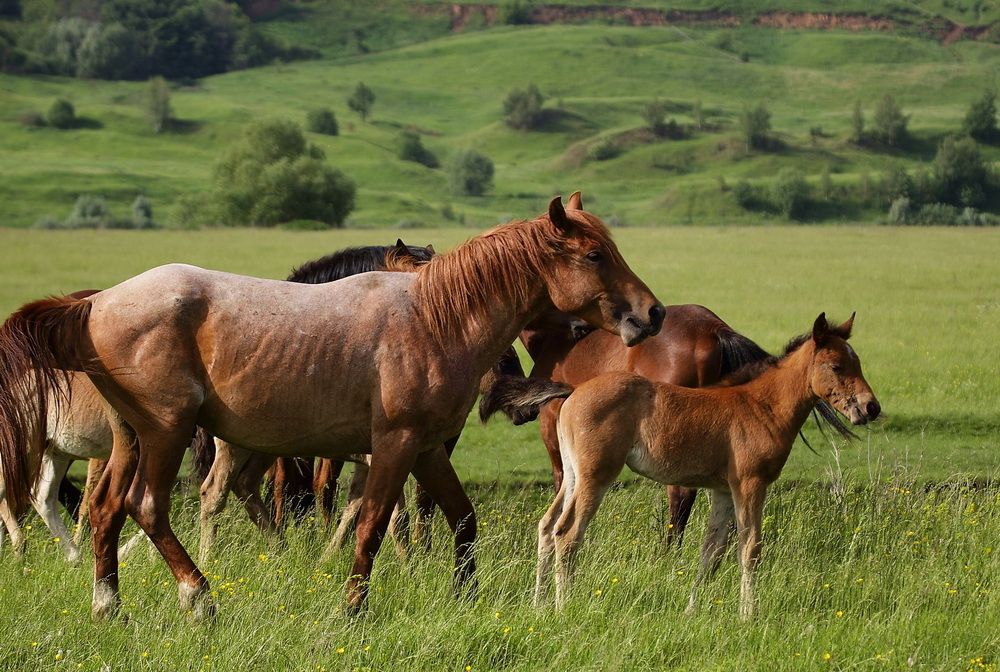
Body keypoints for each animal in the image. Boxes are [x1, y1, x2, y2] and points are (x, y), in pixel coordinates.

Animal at [0, 193, 664, 619]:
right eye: (595, 256)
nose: (651, 313)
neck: (433, 320)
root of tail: (97, 303)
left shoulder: (427, 450)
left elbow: (462, 519)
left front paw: (464, 599)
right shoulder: (394, 446)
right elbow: (371, 526)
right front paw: (353, 609)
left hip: (130, 437)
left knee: (106, 509)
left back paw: (108, 606)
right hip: (166, 431)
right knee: (146, 507)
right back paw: (199, 597)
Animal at [522, 313, 880, 618]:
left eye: (858, 363)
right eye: (836, 366)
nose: (870, 407)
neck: (761, 406)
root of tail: (574, 393)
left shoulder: (723, 491)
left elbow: (712, 552)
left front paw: (691, 612)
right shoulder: (750, 484)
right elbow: (750, 548)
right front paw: (749, 616)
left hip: (573, 475)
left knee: (547, 526)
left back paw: (539, 605)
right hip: (596, 477)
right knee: (567, 534)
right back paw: (563, 607)